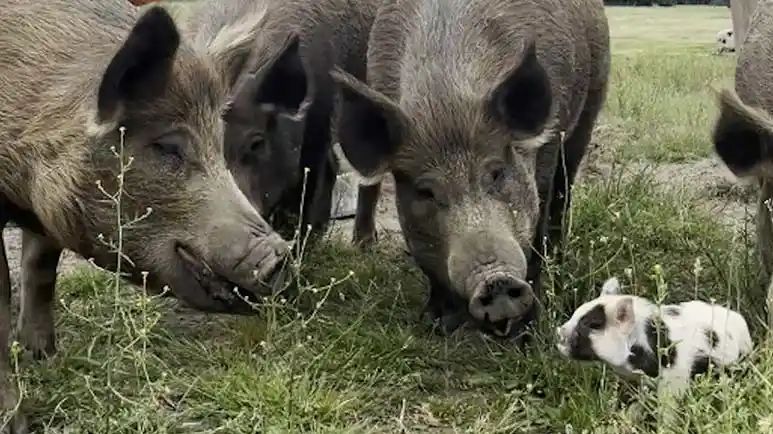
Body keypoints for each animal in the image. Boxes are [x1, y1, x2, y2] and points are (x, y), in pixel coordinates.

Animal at [0, 0, 291, 429]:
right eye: (168, 147)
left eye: (218, 143)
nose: (279, 256)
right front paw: (17, 423)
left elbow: (41, 269)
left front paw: (45, 357)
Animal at [331, 0, 611, 337]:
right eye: (425, 191)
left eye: (496, 173)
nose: (496, 280)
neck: (445, 102)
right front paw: (437, 322)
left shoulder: (545, 148)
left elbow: (537, 229)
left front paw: (527, 332)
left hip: (590, 104)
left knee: (563, 189)